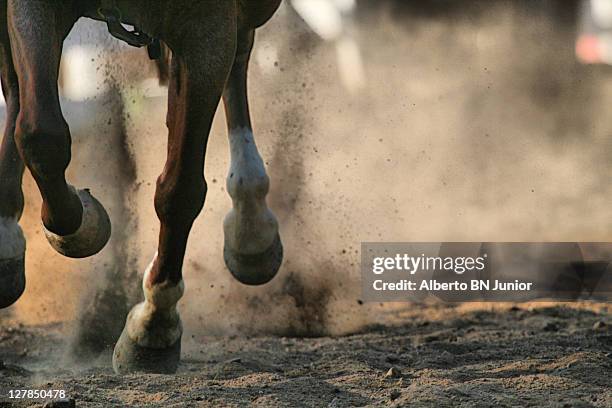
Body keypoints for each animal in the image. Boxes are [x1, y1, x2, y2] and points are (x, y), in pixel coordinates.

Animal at [0, 0, 284, 374]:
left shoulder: (208, 29)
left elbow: (180, 189)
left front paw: (153, 326)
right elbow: (39, 134)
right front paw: (83, 225)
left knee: (240, 55)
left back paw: (251, 228)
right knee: (18, 93)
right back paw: (6, 239)